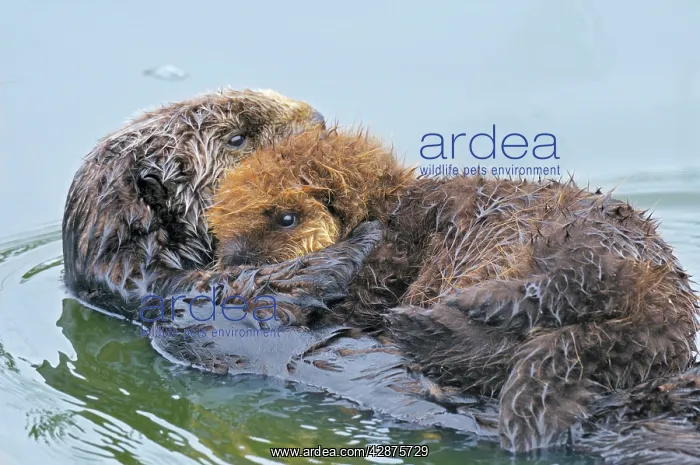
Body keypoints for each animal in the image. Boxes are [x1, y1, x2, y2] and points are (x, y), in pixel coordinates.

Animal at [206, 126, 700, 453]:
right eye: (223, 225)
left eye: (285, 218)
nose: (236, 260)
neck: (390, 209)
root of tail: (660, 321)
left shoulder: (388, 259)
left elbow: (359, 294)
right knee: (498, 357)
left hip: (579, 241)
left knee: (553, 290)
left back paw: (459, 306)